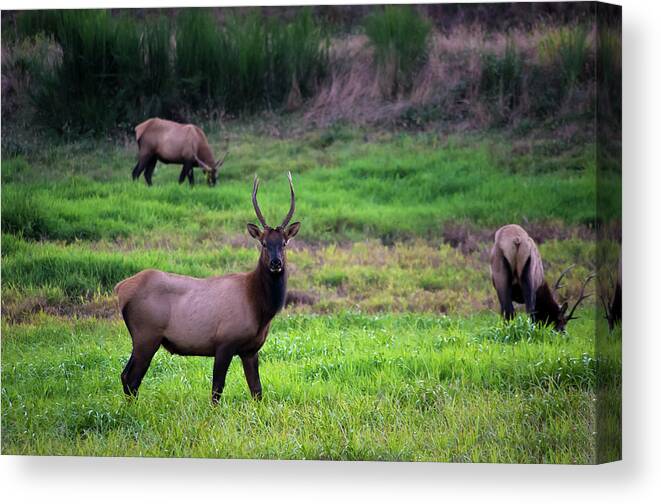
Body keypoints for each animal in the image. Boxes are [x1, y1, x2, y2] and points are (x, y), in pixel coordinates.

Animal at [113, 172, 300, 402]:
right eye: (264, 243)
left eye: (284, 243)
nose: (276, 263)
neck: (260, 308)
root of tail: (120, 289)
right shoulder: (224, 342)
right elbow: (216, 390)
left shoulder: (250, 350)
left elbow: (257, 390)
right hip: (146, 335)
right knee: (132, 378)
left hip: (142, 338)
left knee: (124, 375)